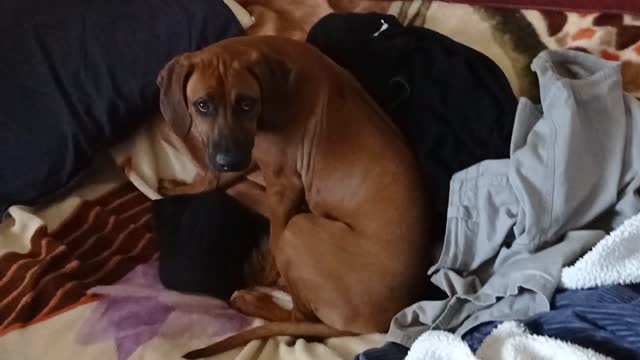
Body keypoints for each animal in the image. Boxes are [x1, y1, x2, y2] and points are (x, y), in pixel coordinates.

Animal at [157, 34, 432, 358]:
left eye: (247, 103)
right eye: (202, 105)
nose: (229, 160)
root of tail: (383, 323)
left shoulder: (283, 183)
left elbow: (222, 183)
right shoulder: (250, 154)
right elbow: (214, 177)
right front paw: (182, 186)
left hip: (299, 231)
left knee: (299, 318)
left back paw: (253, 297)